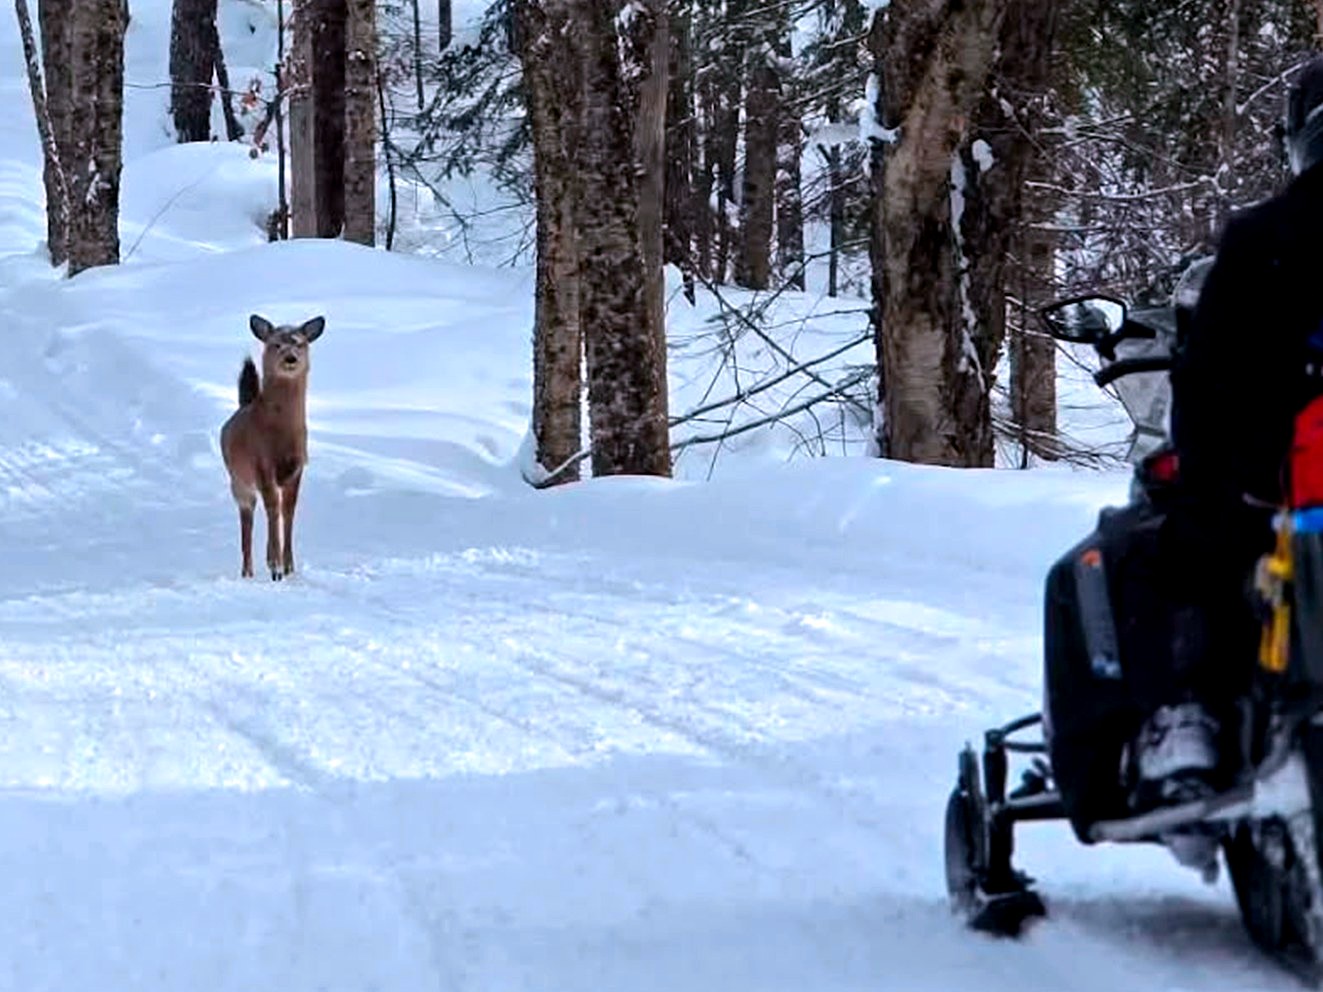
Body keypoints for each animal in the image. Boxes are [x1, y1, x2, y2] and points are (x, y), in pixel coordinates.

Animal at [220, 314, 326, 580]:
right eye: (275, 344)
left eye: (300, 343)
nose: (290, 358)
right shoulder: (261, 463)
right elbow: (273, 509)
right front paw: (276, 566)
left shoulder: (298, 467)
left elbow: (288, 510)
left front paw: (288, 566)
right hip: (238, 481)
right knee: (247, 522)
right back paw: (248, 571)